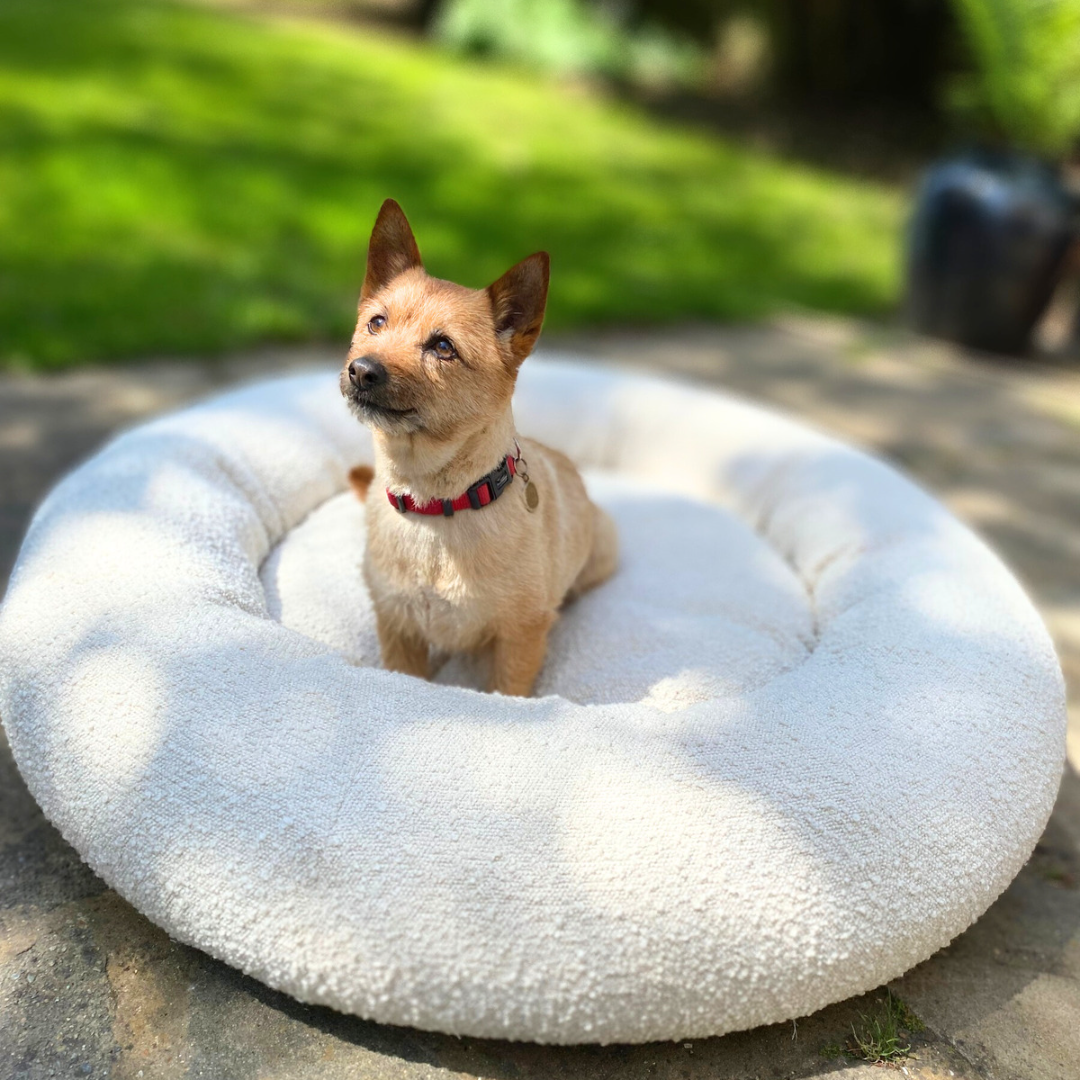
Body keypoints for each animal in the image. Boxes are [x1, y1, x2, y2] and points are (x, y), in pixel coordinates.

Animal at [341, 198, 622, 695]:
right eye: (376, 322)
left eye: (443, 347)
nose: (361, 370)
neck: (435, 505)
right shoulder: (398, 630)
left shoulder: (519, 639)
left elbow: (508, 690)